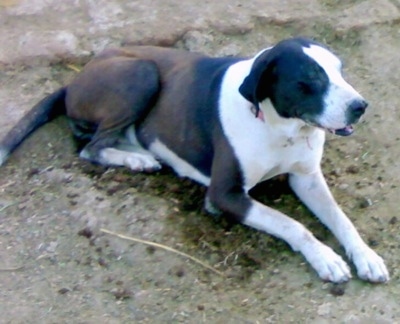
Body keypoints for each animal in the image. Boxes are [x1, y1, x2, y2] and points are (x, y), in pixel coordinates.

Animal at [0, 36, 388, 282]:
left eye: (340, 70)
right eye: (310, 78)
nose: (361, 106)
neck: (281, 127)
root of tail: (75, 78)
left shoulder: (306, 178)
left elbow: (341, 219)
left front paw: (366, 256)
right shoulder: (225, 195)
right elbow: (294, 225)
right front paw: (325, 257)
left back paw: (141, 152)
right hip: (142, 72)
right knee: (89, 146)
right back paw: (137, 160)